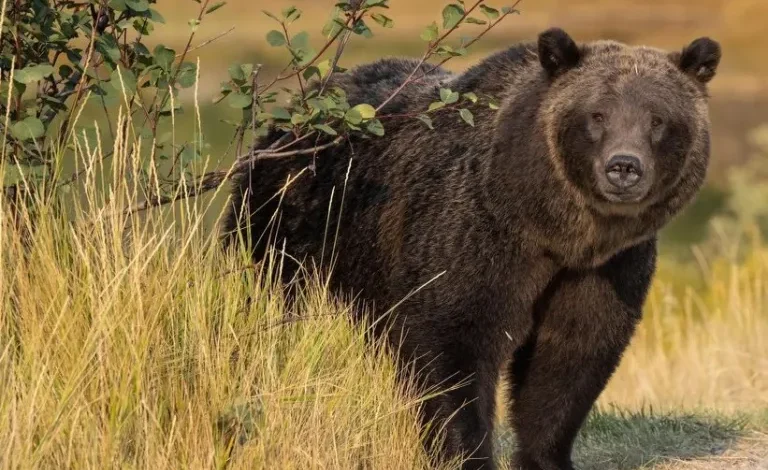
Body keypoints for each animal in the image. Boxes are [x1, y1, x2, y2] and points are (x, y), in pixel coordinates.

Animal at [220, 28, 720, 470]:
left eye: (657, 119)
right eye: (597, 115)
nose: (623, 167)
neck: (556, 230)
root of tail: (294, 113)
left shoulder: (606, 268)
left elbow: (571, 354)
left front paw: (546, 456)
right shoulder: (475, 238)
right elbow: (453, 346)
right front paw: (466, 455)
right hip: (291, 222)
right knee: (269, 306)